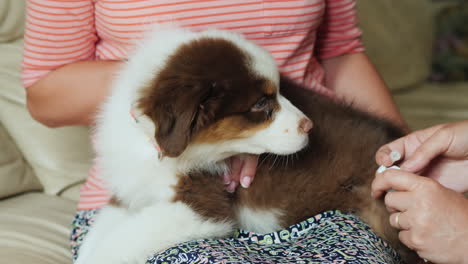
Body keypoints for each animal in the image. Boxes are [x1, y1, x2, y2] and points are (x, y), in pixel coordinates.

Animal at [77, 27, 416, 264]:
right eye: (261, 104)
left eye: (278, 92)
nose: (309, 126)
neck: (154, 148)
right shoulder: (129, 193)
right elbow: (97, 239)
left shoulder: (203, 206)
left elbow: (119, 242)